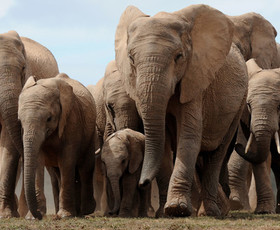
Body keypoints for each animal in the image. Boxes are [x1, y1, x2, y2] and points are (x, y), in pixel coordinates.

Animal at [17, 73, 96, 219]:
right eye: (20, 120)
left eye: (49, 118)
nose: (40, 216)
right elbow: (38, 161)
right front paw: (32, 217)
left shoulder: (72, 119)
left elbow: (67, 160)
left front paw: (65, 215)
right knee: (59, 172)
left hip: (91, 134)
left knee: (86, 167)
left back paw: (85, 211)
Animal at [114, 4, 247, 217]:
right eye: (131, 59)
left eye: (179, 57)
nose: (143, 182)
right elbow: (164, 142)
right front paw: (164, 213)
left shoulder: (195, 80)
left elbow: (189, 136)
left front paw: (177, 209)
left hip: (240, 102)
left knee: (216, 154)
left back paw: (210, 212)